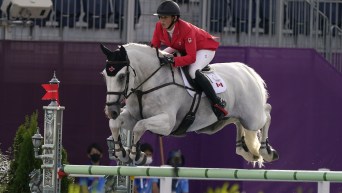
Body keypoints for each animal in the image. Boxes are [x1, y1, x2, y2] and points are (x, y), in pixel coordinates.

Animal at [100, 43, 280, 167]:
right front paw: (121, 152)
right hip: (230, 118)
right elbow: (115, 124)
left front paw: (136, 154)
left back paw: (266, 151)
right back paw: (244, 150)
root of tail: (247, 70)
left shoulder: (167, 123)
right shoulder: (132, 116)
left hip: (253, 117)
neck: (146, 84)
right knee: (238, 122)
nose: (112, 110)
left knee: (267, 113)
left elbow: (139, 126)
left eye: (122, 76)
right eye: (104, 75)